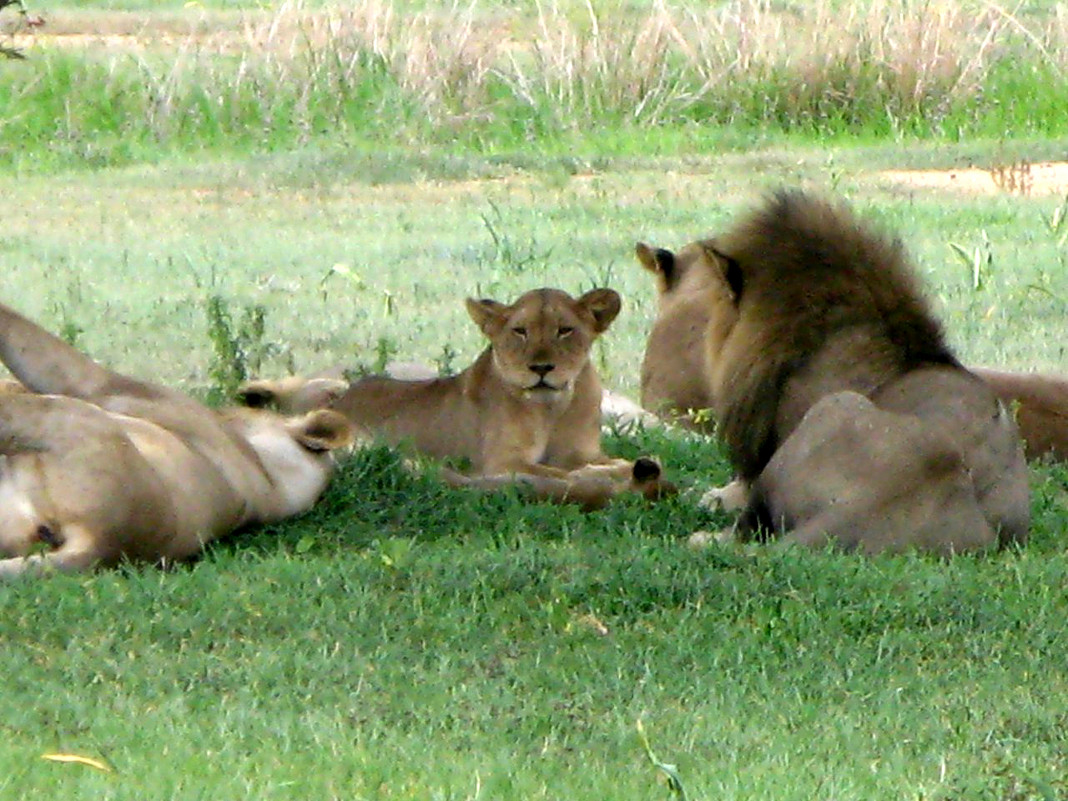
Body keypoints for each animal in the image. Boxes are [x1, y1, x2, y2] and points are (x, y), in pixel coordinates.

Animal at [243, 288, 674, 510]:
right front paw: (613, 479)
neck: (552, 407)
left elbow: (602, 462)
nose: (541, 368)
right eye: (520, 331)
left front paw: (632, 469)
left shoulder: (581, 451)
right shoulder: (501, 461)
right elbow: (555, 474)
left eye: (565, 330)